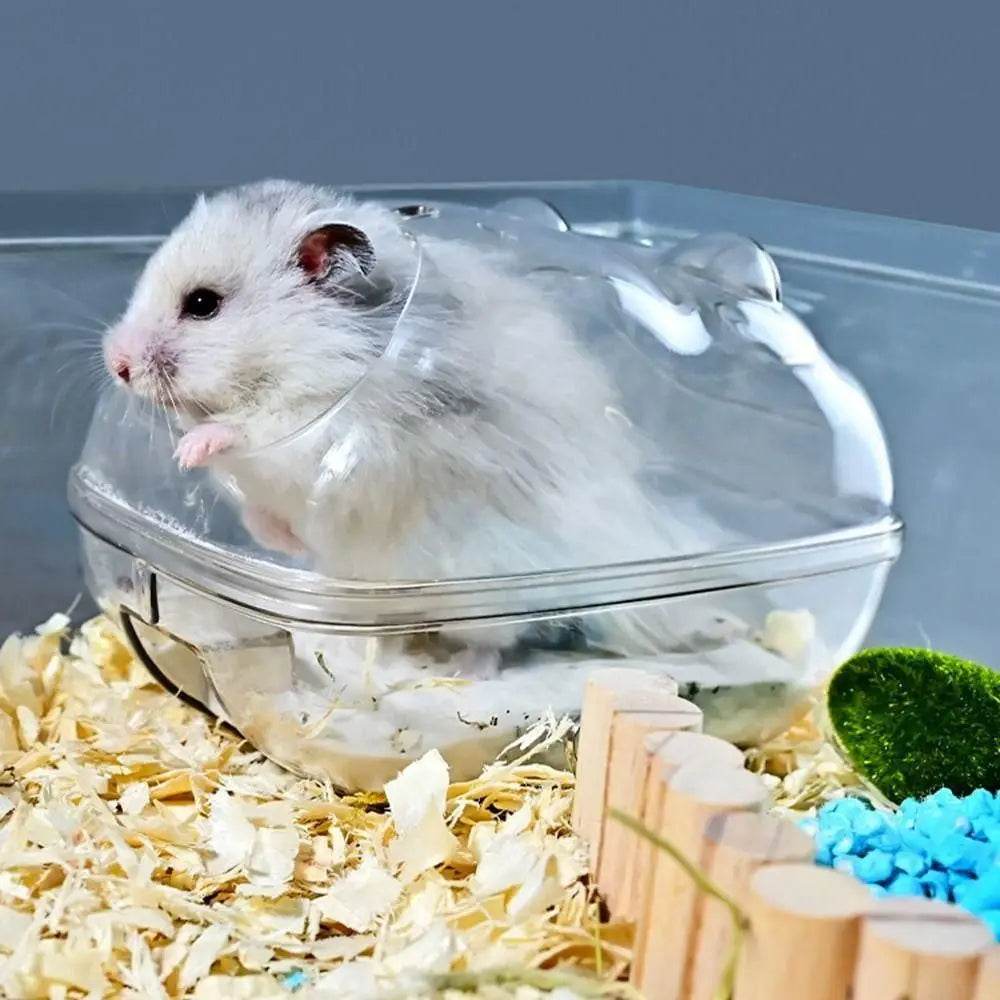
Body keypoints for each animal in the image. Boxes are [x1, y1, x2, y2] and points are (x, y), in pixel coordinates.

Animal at [102, 180, 732, 653]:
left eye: (202, 304)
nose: (116, 365)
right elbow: (262, 512)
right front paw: (271, 531)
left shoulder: (324, 429)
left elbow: (252, 429)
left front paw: (190, 450)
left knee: (500, 641)